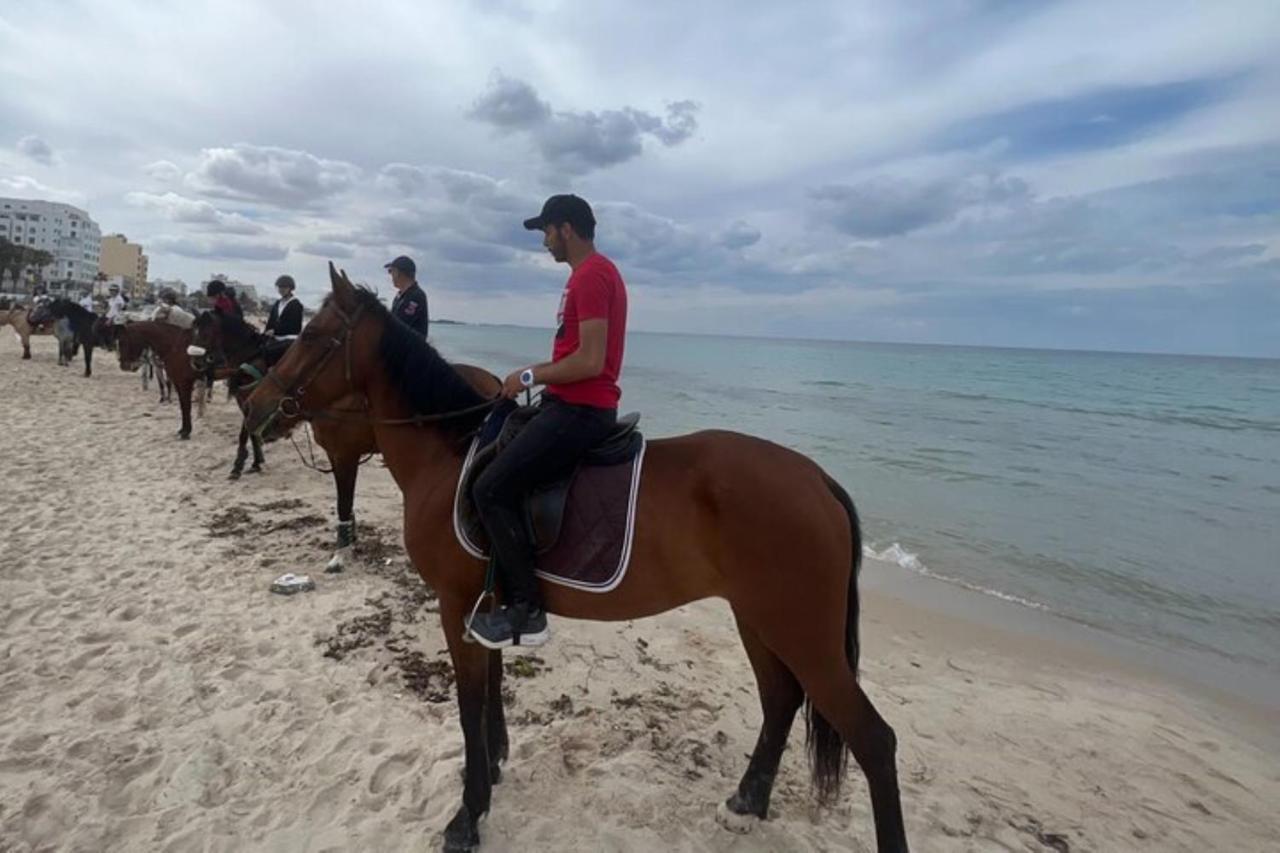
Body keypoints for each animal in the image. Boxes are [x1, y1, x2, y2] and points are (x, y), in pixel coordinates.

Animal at [241, 266, 911, 850]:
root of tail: (817, 478)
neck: (451, 453)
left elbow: (467, 706)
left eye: (311, 335)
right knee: (781, 702)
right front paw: (494, 768)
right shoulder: (490, 605)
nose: (254, 405)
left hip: (802, 632)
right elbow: (491, 689)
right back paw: (747, 800)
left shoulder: (455, 604)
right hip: (759, 619)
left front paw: (468, 814)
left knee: (874, 740)